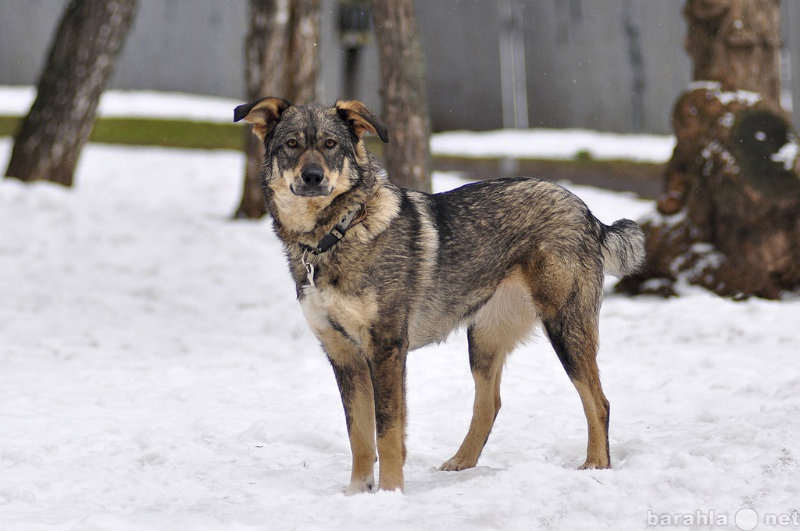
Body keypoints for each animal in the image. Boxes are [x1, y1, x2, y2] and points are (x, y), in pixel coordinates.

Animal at [234, 98, 648, 494]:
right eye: (291, 144)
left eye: (330, 144)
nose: (313, 177)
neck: (338, 233)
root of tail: (588, 212)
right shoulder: (343, 356)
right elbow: (360, 437)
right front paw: (357, 494)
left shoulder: (386, 350)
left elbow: (387, 433)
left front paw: (390, 494)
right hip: (483, 341)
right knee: (490, 404)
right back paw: (461, 464)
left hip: (566, 329)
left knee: (599, 401)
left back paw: (596, 465)